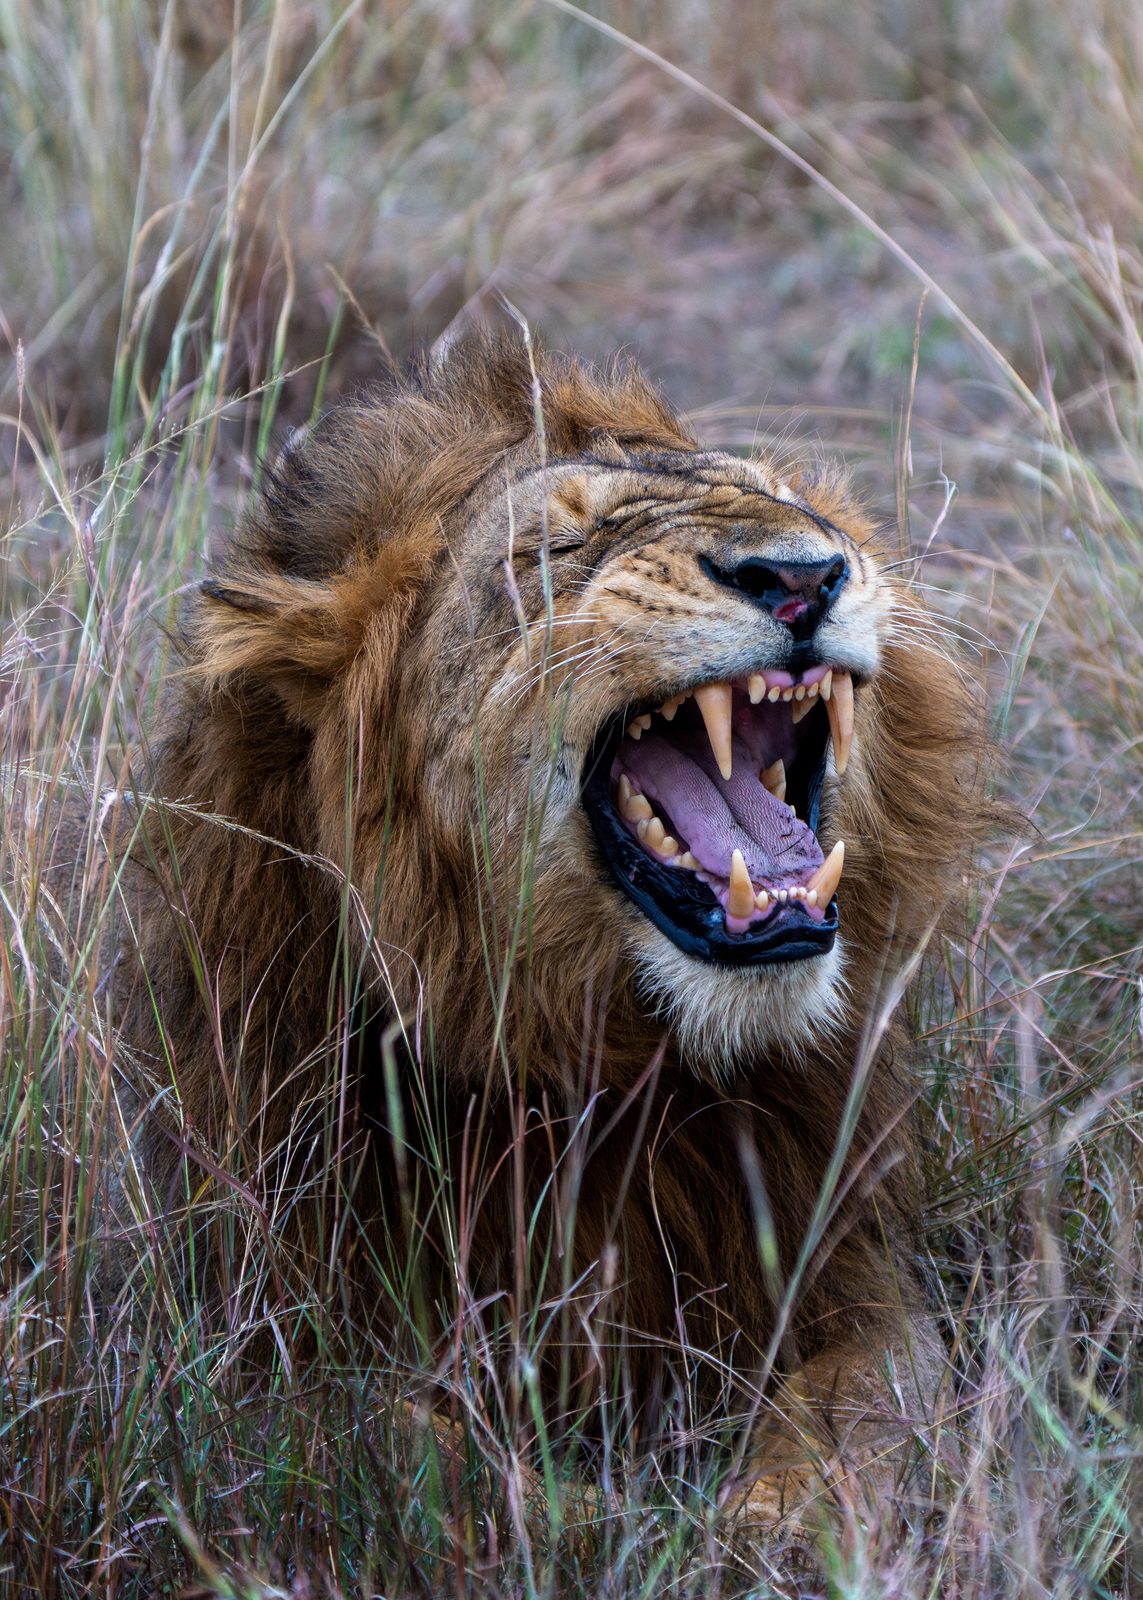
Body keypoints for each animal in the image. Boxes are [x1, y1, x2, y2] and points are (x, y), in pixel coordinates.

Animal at [106, 333, 994, 1552]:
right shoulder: (265, 1340)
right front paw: (635, 1528)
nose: (804, 576)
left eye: (800, 511)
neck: (610, 1073)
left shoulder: (857, 1266)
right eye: (553, 551)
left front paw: (776, 1518)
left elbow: (864, 1407)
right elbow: (432, 1459)